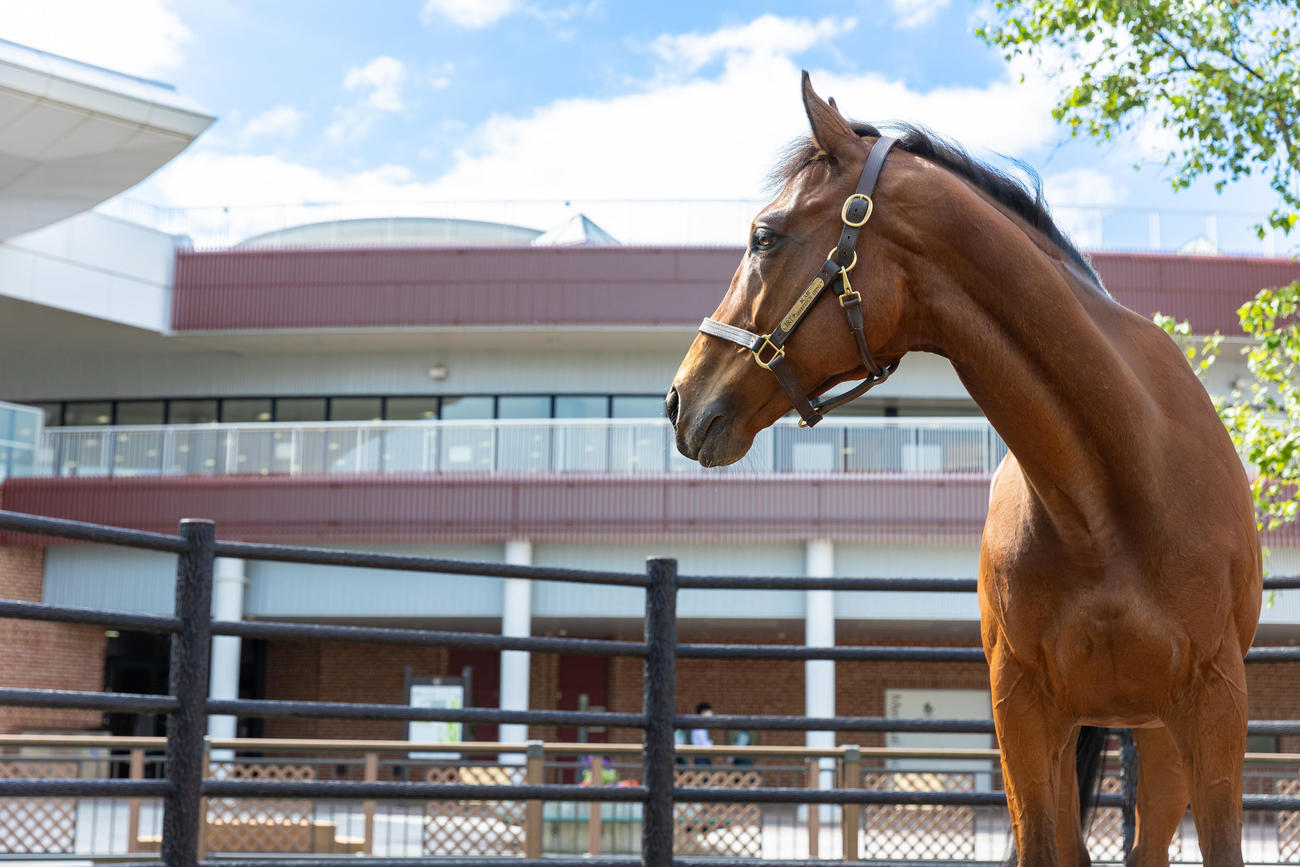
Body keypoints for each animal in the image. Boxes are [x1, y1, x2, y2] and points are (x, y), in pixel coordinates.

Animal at [666, 73, 1261, 867]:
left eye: (764, 235)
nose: (680, 398)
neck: (1114, 494)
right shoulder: (1022, 709)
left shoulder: (1215, 702)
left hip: (1159, 735)